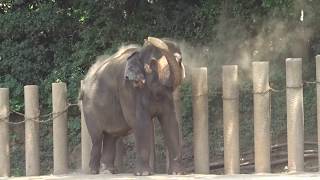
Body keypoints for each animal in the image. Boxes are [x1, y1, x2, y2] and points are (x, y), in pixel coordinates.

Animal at [79, 37, 185, 175]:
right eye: (152, 64)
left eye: (180, 60)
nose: (149, 38)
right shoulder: (128, 90)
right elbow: (141, 123)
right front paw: (144, 173)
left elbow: (171, 122)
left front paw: (177, 173)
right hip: (89, 109)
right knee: (97, 138)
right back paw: (94, 171)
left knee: (110, 136)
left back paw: (108, 171)